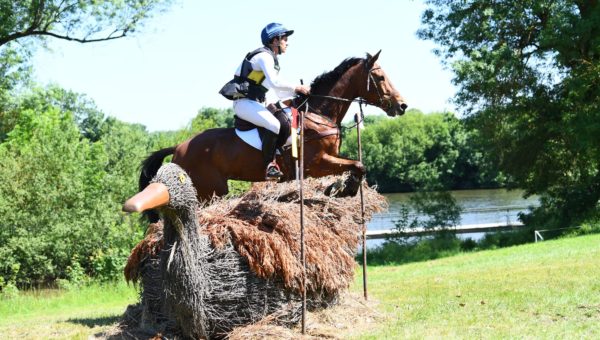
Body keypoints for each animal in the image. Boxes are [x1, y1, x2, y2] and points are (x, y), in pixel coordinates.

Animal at [132, 51, 408, 219]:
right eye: (380, 77)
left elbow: (357, 164)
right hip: (209, 190)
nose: (402, 105)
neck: (318, 113)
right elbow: (358, 165)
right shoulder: (315, 164)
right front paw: (345, 189)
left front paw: (341, 188)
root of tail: (179, 147)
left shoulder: (331, 158)